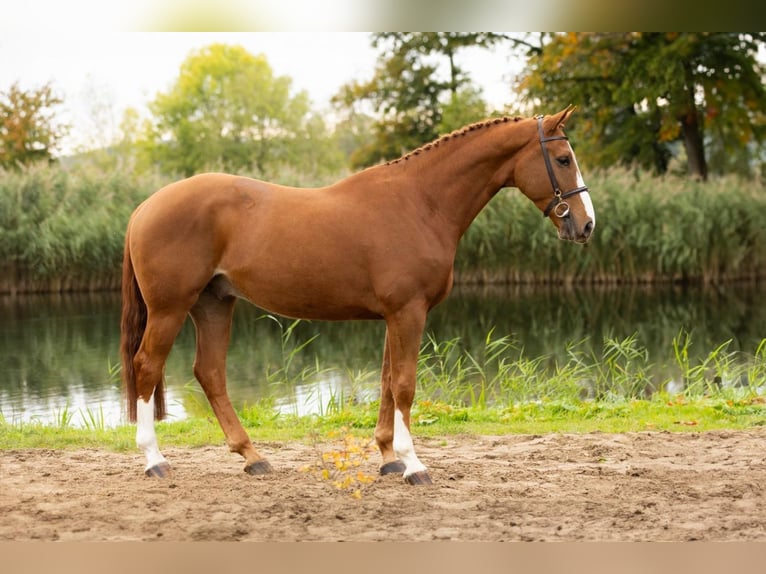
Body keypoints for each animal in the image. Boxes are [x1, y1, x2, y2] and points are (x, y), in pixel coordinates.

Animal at [121, 107, 600, 486]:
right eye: (563, 158)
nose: (585, 225)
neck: (420, 203)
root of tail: (144, 207)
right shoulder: (408, 313)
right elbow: (405, 385)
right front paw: (414, 465)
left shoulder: (395, 315)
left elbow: (388, 383)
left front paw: (389, 458)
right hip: (171, 308)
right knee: (147, 367)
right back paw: (155, 460)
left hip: (214, 303)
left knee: (211, 373)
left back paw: (253, 457)